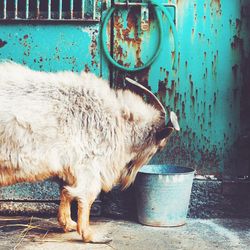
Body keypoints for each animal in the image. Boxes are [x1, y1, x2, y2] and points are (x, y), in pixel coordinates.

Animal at [0, 61, 180, 243]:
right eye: (159, 148)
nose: (128, 180)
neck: (114, 121)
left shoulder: (69, 168)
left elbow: (65, 191)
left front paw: (68, 224)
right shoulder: (88, 164)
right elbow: (86, 195)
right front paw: (90, 235)